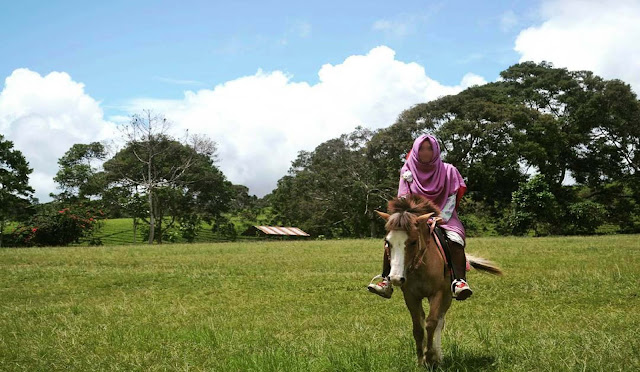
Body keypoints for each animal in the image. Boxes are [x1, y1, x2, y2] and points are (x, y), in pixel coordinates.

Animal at [372, 195, 502, 366]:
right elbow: (418, 327)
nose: (395, 278)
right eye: (388, 242)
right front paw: (420, 360)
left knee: (440, 321)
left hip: (447, 296)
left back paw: (437, 356)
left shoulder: (437, 293)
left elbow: (431, 323)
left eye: (413, 241)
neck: (420, 267)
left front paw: (429, 356)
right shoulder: (411, 296)